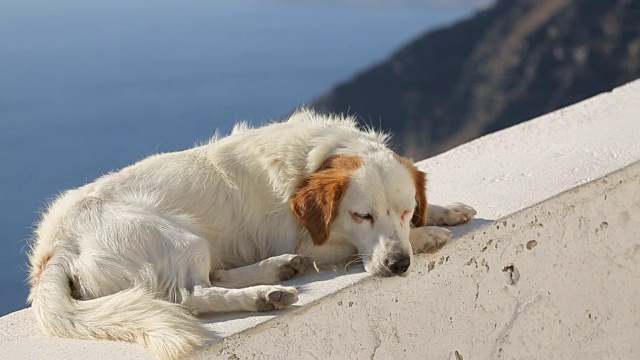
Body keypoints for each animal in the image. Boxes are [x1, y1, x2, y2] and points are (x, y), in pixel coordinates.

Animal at [27, 109, 472, 358]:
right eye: (362, 215)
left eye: (406, 210)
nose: (398, 265)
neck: (314, 161)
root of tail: (53, 247)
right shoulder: (312, 240)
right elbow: (357, 247)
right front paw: (427, 236)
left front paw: (445, 211)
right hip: (177, 237)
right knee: (192, 294)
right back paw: (263, 296)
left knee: (216, 276)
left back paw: (276, 274)